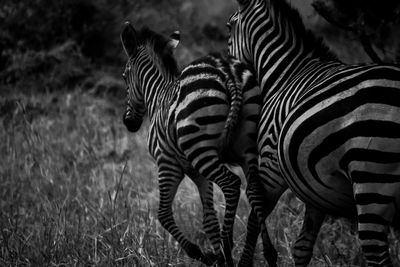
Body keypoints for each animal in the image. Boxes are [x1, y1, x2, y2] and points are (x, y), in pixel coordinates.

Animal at [120, 22, 260, 266]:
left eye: (125, 77)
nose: (128, 123)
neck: (157, 96)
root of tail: (227, 71)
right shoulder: (196, 172)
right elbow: (209, 220)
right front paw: (217, 257)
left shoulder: (168, 162)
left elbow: (163, 214)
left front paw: (204, 254)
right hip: (245, 147)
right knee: (255, 192)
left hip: (201, 150)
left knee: (232, 183)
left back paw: (227, 244)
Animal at [227, 0, 400, 267]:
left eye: (228, 27)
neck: (286, 73)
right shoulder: (314, 186)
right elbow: (302, 247)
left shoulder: (270, 164)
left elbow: (255, 219)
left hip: (371, 176)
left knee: (375, 253)